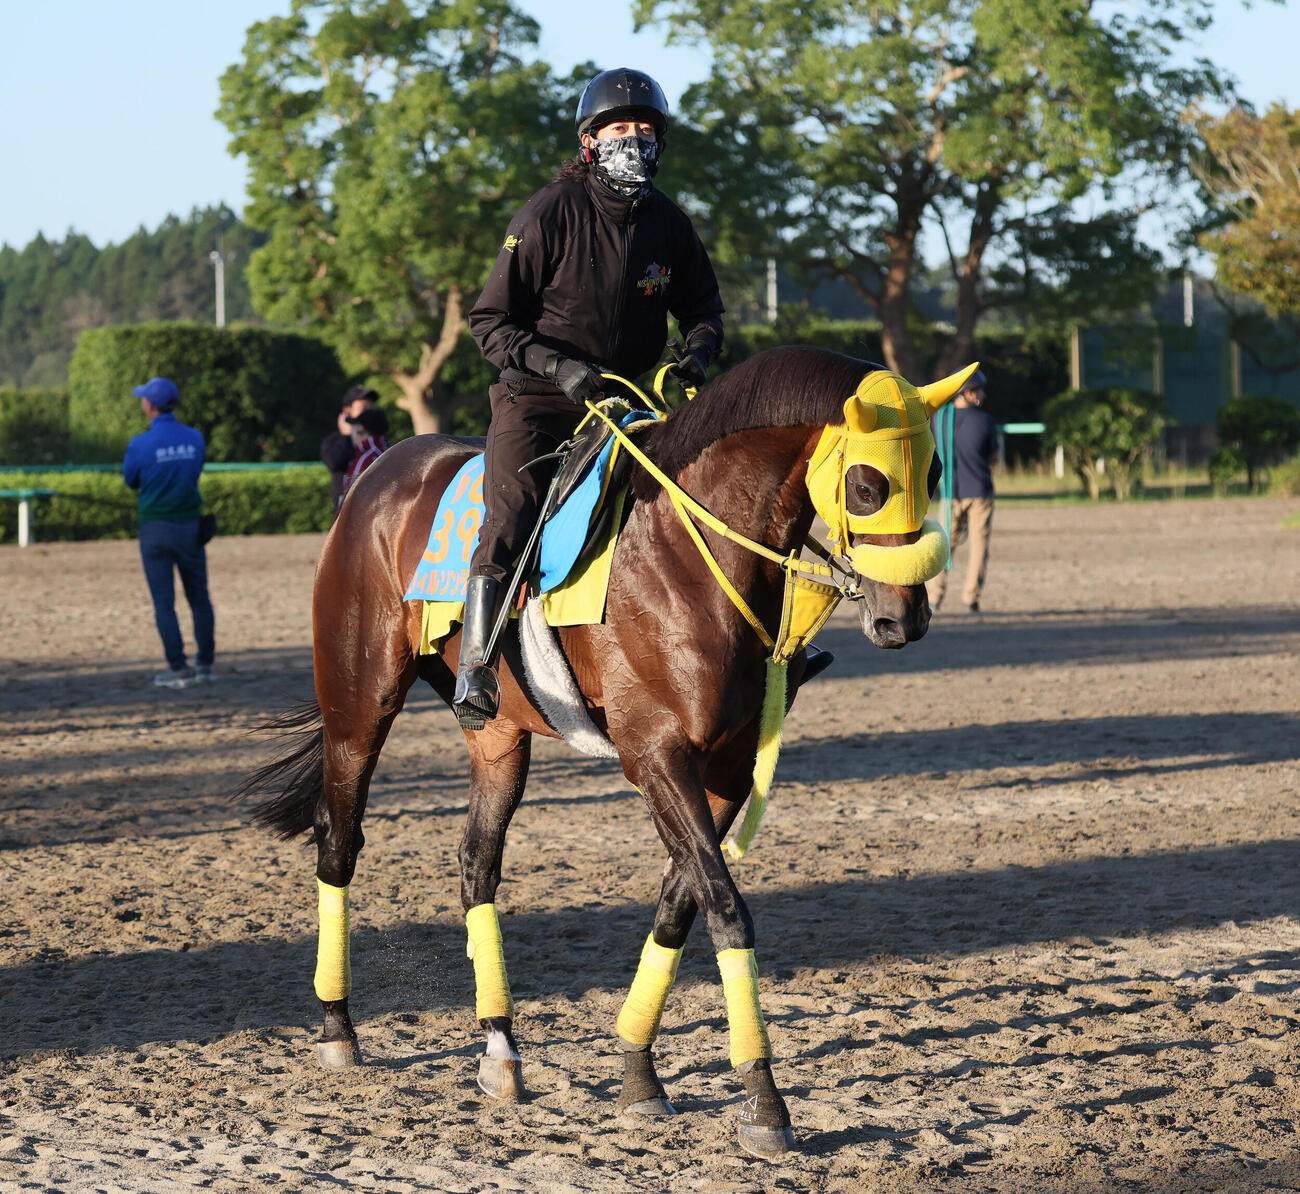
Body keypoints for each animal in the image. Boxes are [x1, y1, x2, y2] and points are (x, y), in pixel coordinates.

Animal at [241, 345, 972, 1158]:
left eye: (936, 471)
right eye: (868, 484)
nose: (904, 617)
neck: (686, 555)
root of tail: (380, 471)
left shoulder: (725, 768)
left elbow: (680, 906)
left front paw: (637, 1071)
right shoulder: (656, 757)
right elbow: (725, 908)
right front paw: (763, 1101)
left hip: (499, 736)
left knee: (475, 863)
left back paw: (500, 1048)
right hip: (359, 708)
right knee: (338, 841)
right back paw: (338, 1027)